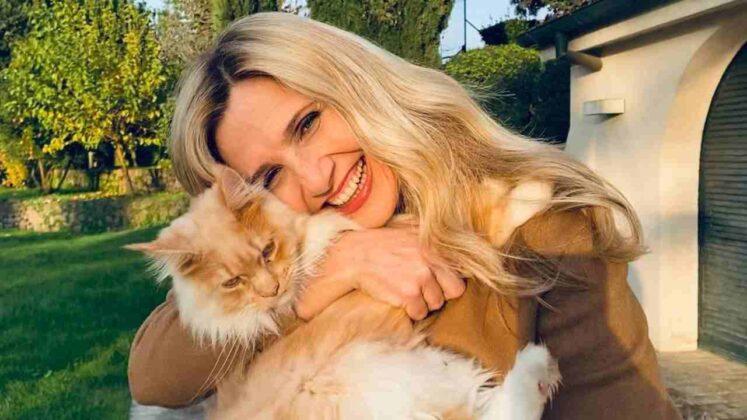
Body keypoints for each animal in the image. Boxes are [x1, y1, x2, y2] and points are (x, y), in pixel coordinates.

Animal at [126, 165, 559, 419]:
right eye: (233, 283)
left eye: (267, 251)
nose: (272, 289)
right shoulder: (428, 245)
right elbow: (479, 223)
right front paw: (539, 190)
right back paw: (538, 365)